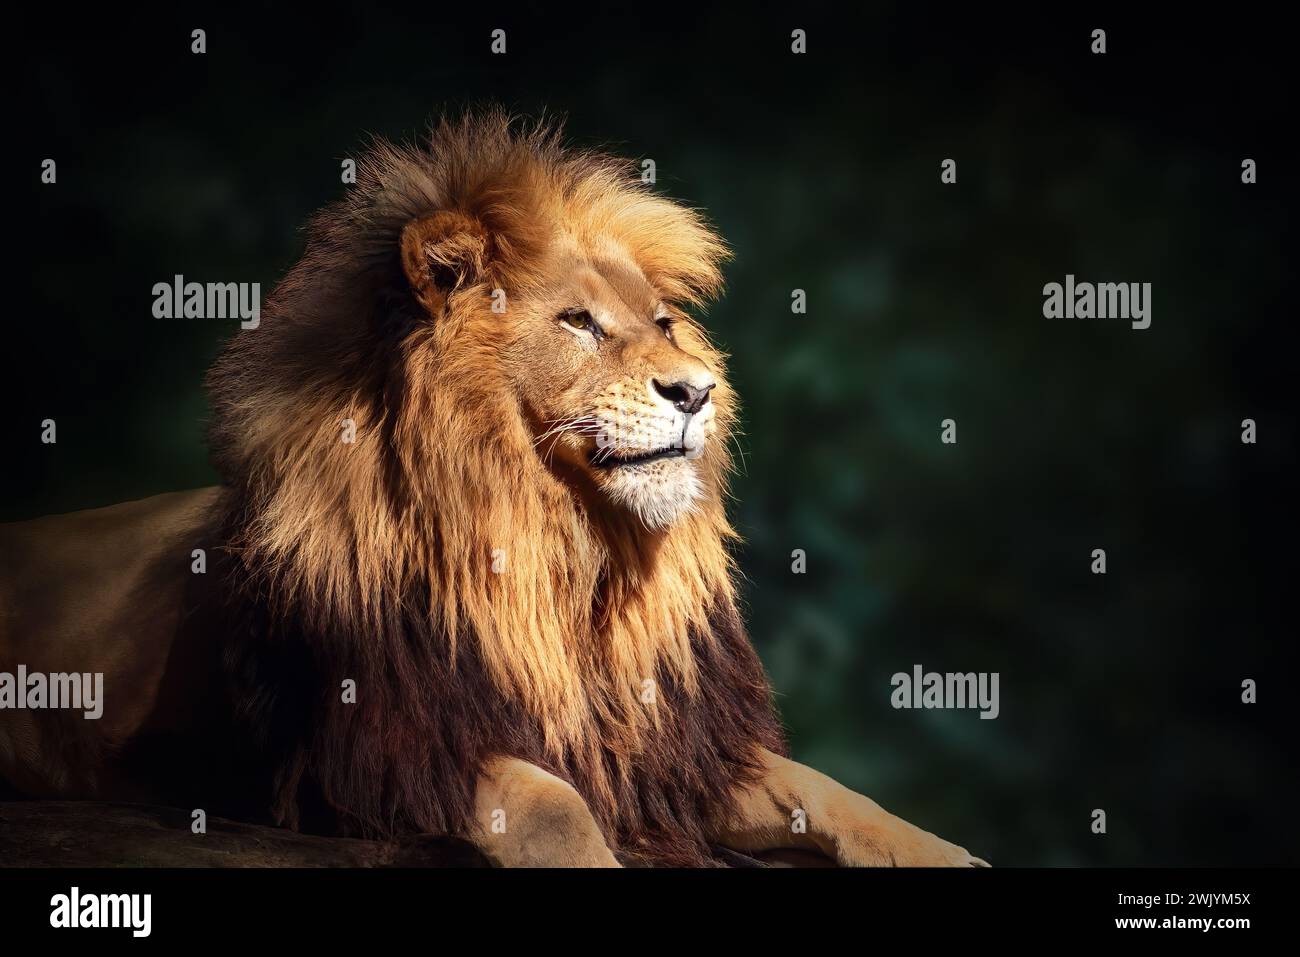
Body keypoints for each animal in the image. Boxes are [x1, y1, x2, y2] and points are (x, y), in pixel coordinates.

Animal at [0, 111, 985, 868]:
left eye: (664, 323)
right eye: (579, 322)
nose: (696, 390)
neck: (566, 550)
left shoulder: (670, 748)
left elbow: (831, 790)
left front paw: (946, 851)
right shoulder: (381, 755)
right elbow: (554, 808)